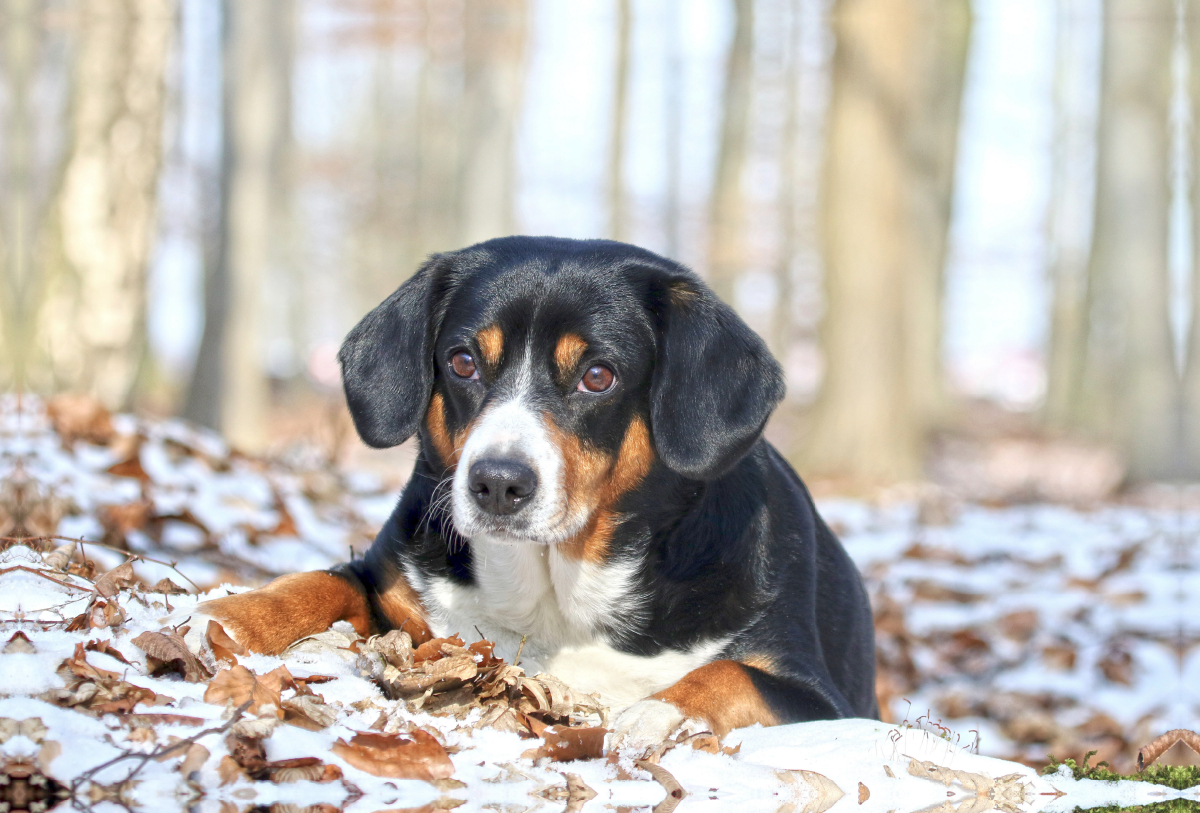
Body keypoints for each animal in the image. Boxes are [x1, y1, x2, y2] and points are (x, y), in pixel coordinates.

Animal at [189, 236, 883, 753]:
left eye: (598, 376)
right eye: (463, 362)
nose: (497, 482)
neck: (558, 589)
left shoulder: (818, 696)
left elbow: (730, 673)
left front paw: (658, 714)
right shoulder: (393, 586)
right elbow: (318, 582)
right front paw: (229, 615)